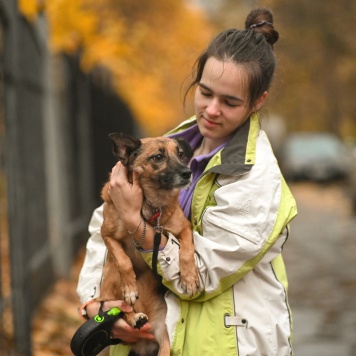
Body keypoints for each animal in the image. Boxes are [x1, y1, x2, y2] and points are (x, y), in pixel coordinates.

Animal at [97, 134, 200, 356]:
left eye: (180, 154)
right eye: (158, 157)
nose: (187, 173)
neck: (150, 206)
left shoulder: (184, 229)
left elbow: (187, 251)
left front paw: (189, 278)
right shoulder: (107, 235)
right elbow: (123, 260)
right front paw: (130, 289)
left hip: (164, 337)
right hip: (110, 276)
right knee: (121, 309)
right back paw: (134, 317)